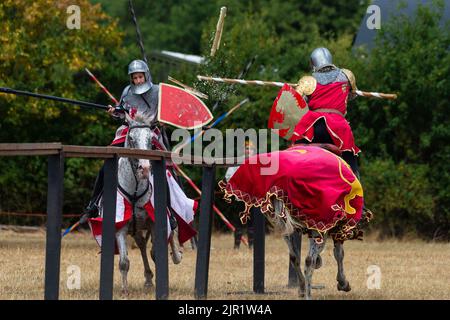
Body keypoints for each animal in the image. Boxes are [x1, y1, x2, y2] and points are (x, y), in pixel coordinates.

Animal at [100, 112, 181, 296]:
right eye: (131, 138)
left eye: (150, 139)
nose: (144, 168)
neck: (135, 190)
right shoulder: (121, 227)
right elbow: (124, 261)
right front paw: (124, 290)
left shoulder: (154, 223)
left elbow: (156, 253)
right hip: (135, 230)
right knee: (142, 245)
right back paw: (148, 279)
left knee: (170, 234)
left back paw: (176, 256)